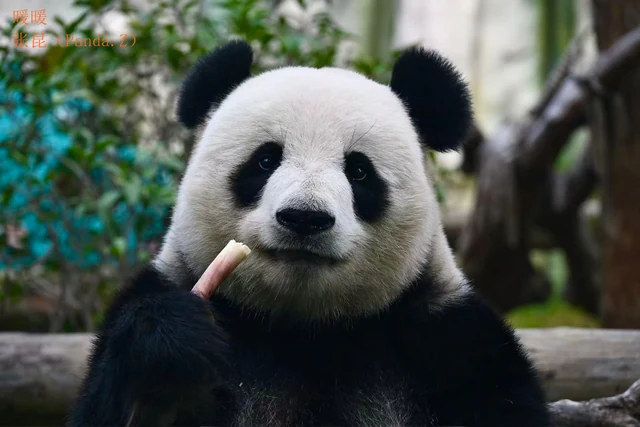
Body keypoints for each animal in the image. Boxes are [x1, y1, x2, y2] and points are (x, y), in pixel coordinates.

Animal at [68, 40, 550, 427]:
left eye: (359, 171)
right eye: (265, 160)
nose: (304, 218)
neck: (304, 327)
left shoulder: (452, 342)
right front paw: (170, 354)